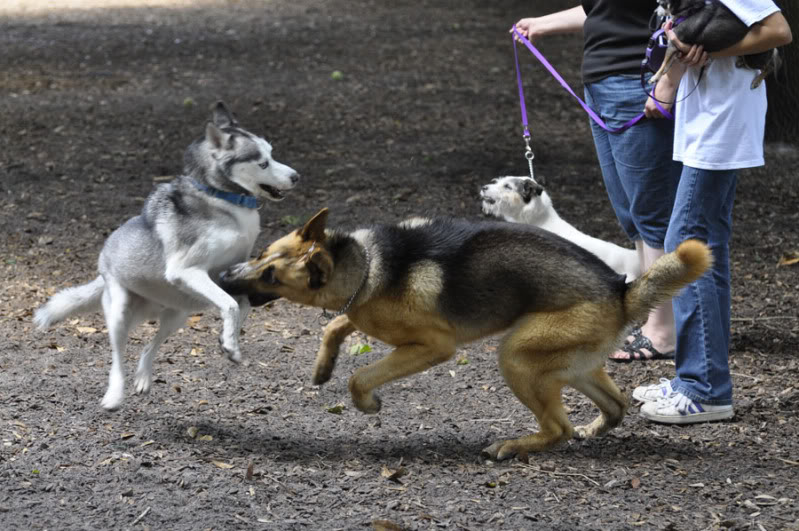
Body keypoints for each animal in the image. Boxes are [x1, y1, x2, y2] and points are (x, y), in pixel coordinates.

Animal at [32, 103, 302, 412]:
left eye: (271, 153)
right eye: (262, 163)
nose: (296, 176)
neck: (222, 199)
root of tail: (102, 265)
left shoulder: (226, 275)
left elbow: (239, 305)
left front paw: (228, 340)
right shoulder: (187, 271)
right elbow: (231, 305)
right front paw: (231, 343)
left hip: (178, 313)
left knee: (150, 345)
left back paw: (143, 377)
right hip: (120, 311)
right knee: (118, 358)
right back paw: (114, 395)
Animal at [219, 210, 712, 460]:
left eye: (270, 275)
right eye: (261, 254)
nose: (224, 276)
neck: (364, 265)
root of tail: (621, 291)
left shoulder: (432, 346)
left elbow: (360, 376)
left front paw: (367, 403)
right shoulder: (360, 313)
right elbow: (338, 324)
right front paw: (323, 368)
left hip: (514, 357)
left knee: (558, 427)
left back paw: (511, 447)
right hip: (572, 365)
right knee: (615, 406)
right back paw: (592, 429)